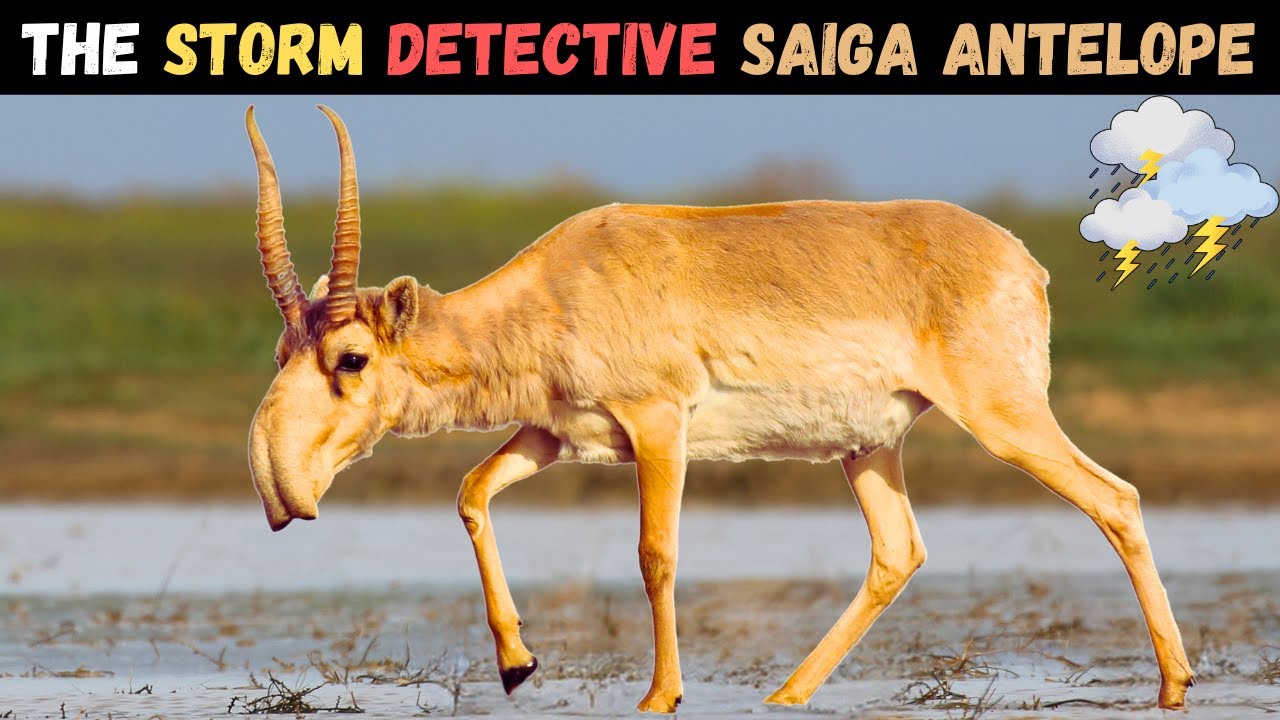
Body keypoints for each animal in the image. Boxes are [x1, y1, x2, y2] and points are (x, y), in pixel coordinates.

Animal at [245, 106, 1194, 713]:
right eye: (282, 351)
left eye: (351, 358)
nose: (277, 486)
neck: (557, 286)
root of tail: (1022, 261)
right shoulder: (555, 435)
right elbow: (471, 492)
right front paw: (518, 665)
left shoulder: (659, 425)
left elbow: (655, 554)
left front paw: (660, 693)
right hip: (869, 449)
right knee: (898, 551)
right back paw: (785, 692)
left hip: (1005, 419)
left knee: (1115, 498)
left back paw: (1174, 684)